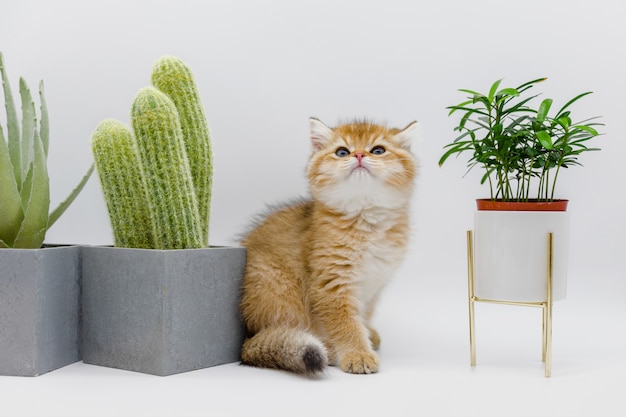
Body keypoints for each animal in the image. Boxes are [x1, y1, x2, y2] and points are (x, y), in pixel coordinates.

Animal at [239, 117, 420, 374]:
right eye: (342, 152)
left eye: (378, 150)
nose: (359, 155)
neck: (366, 223)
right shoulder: (332, 287)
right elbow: (346, 325)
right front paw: (358, 354)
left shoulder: (374, 285)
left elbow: (363, 315)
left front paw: (367, 335)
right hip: (277, 286)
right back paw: (329, 350)